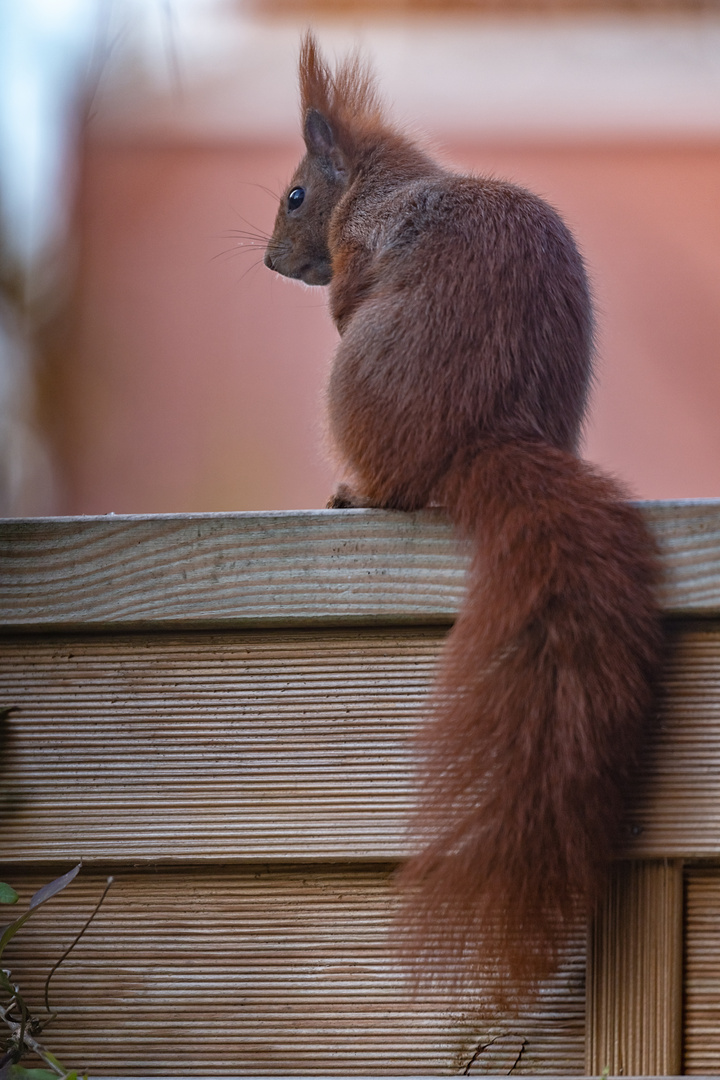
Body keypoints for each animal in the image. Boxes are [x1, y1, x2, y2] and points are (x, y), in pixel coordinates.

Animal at [264, 33, 664, 993]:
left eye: (296, 195)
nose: (268, 260)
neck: (379, 181)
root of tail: (481, 441)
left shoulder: (360, 242)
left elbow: (348, 290)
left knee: (396, 489)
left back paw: (359, 491)